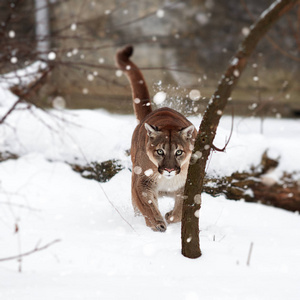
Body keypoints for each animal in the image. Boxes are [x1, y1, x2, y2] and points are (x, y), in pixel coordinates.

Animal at [115, 45, 197, 232]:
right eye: (160, 151)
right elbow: (147, 205)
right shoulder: (143, 182)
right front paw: (157, 223)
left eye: (179, 152)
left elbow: (181, 210)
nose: (169, 169)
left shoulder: (188, 184)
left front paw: (169, 217)